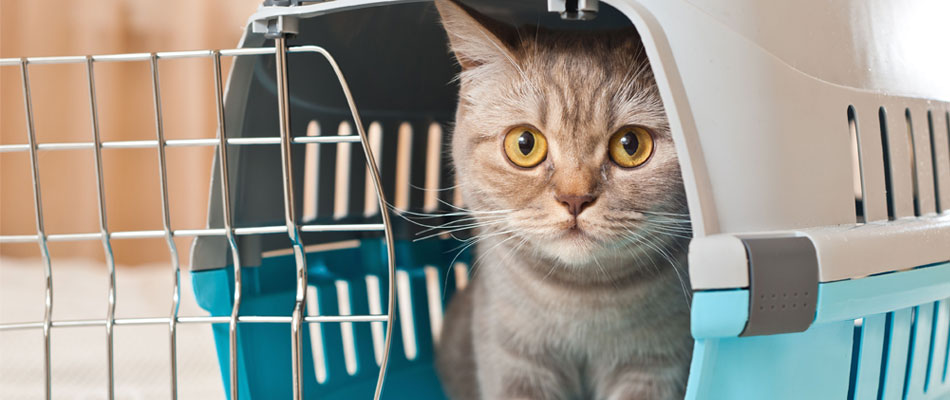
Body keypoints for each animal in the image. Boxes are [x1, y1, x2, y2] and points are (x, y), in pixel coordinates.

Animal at [436, 0, 696, 400]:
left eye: (630, 145)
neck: (581, 299)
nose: (574, 199)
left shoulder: (657, 367)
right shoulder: (516, 364)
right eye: (524, 144)